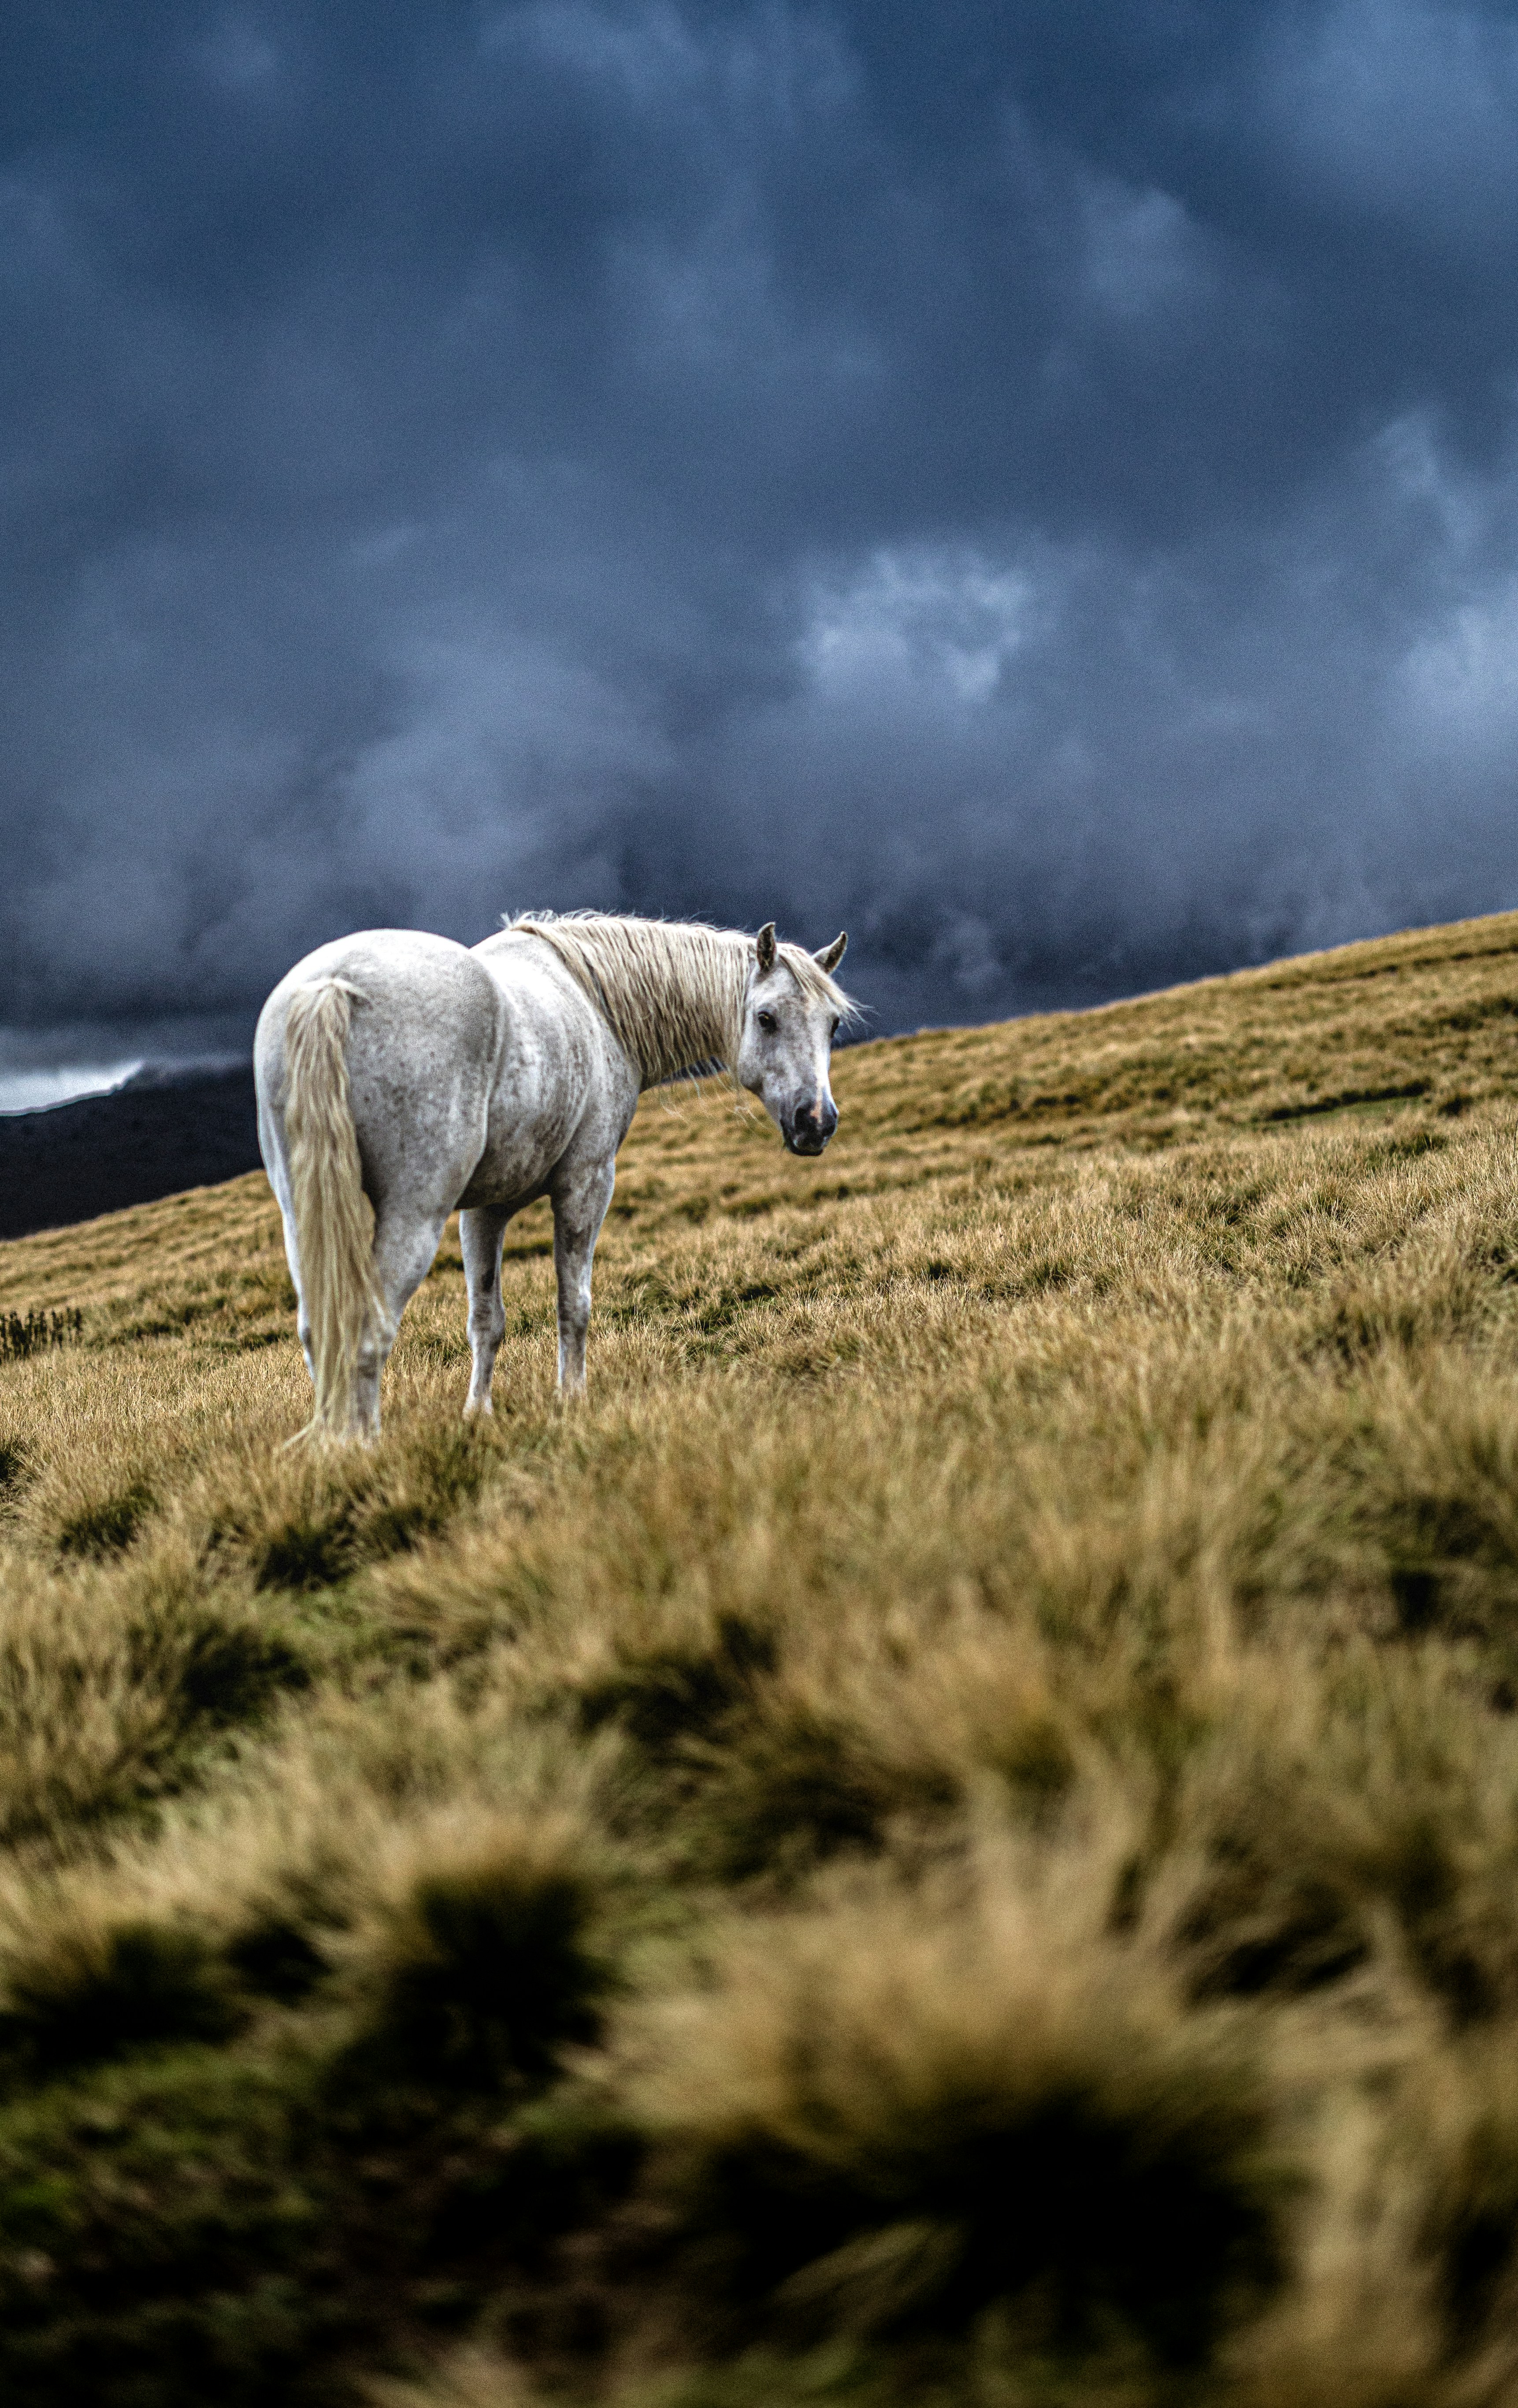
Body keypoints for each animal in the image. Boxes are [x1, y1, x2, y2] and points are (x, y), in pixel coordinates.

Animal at [253, 913, 853, 1442]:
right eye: (767, 1018)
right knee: (367, 1330)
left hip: (302, 1219)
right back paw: (360, 1450)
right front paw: (572, 1401)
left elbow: (486, 1321)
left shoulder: (484, 1211)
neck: (598, 1006)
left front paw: (477, 1417)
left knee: (318, 1329)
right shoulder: (586, 1185)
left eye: (833, 1023)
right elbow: (574, 1304)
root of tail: (335, 985)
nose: (816, 1122)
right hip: (412, 1217)